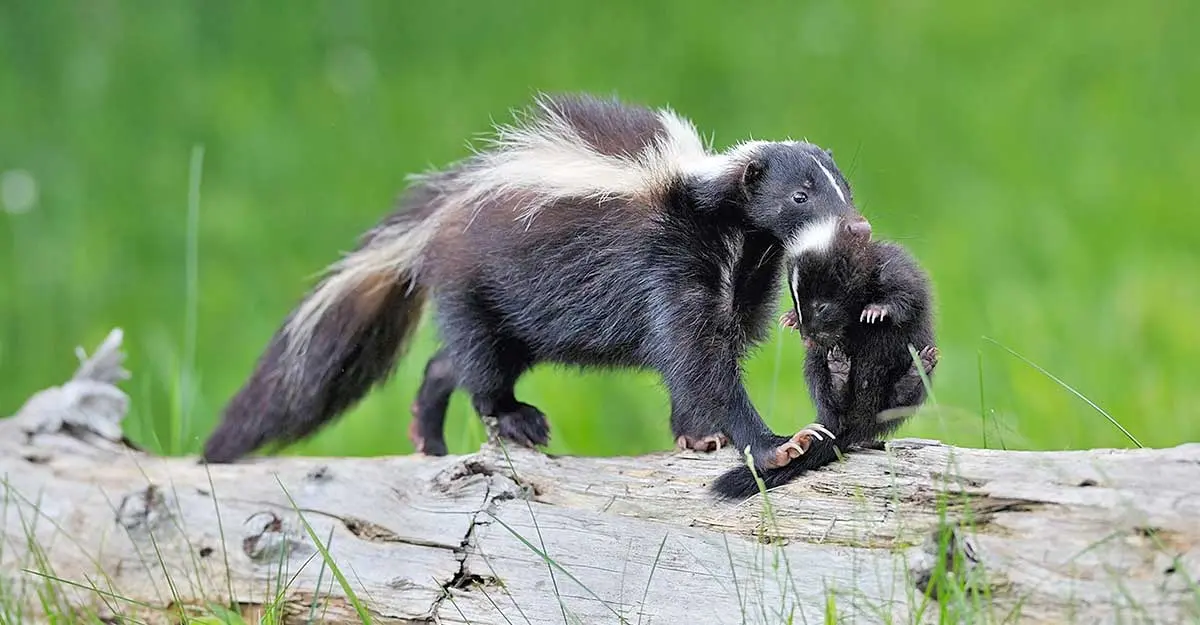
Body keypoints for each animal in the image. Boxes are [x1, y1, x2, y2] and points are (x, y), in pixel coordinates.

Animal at [201, 89, 868, 475]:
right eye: (800, 195)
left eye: (846, 188)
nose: (857, 227)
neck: (729, 228)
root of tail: (438, 213)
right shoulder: (669, 263)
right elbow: (699, 361)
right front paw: (777, 443)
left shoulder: (736, 284)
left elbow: (699, 361)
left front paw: (695, 436)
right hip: (478, 280)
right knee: (479, 362)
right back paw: (515, 419)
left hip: (520, 314)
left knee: (450, 360)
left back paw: (425, 434)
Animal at [710, 213, 936, 496]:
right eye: (797, 302)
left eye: (821, 306)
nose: (807, 338)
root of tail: (854, 421)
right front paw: (790, 319)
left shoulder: (894, 269)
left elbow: (905, 296)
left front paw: (877, 310)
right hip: (816, 364)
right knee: (828, 385)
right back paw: (839, 372)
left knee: (900, 397)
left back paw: (916, 371)